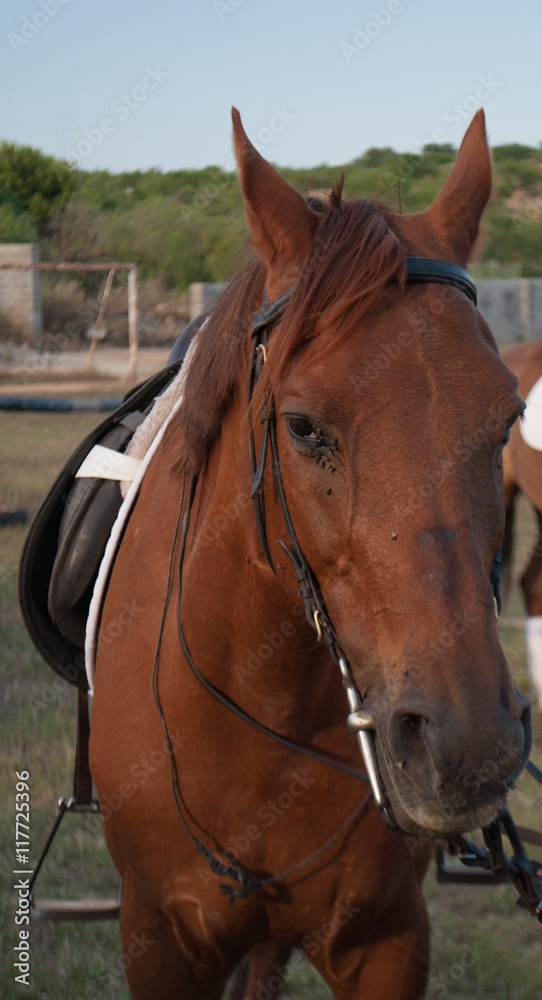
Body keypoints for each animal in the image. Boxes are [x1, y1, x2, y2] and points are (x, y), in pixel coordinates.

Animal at [89, 108, 531, 1000]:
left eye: (508, 417)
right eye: (301, 426)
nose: (469, 748)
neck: (262, 714)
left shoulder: (388, 938)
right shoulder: (156, 937)